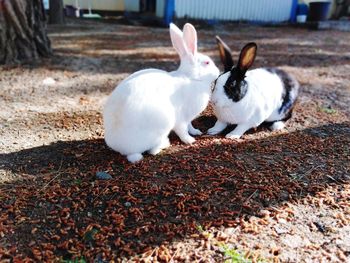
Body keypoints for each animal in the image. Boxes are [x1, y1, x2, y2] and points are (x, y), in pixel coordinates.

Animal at [103, 23, 219, 163]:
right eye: (207, 63)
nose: (218, 72)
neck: (192, 78)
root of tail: (122, 148)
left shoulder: (188, 118)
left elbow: (190, 126)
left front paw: (196, 132)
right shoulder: (180, 118)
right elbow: (183, 130)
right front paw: (190, 140)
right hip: (163, 123)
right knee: (150, 151)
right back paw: (164, 145)